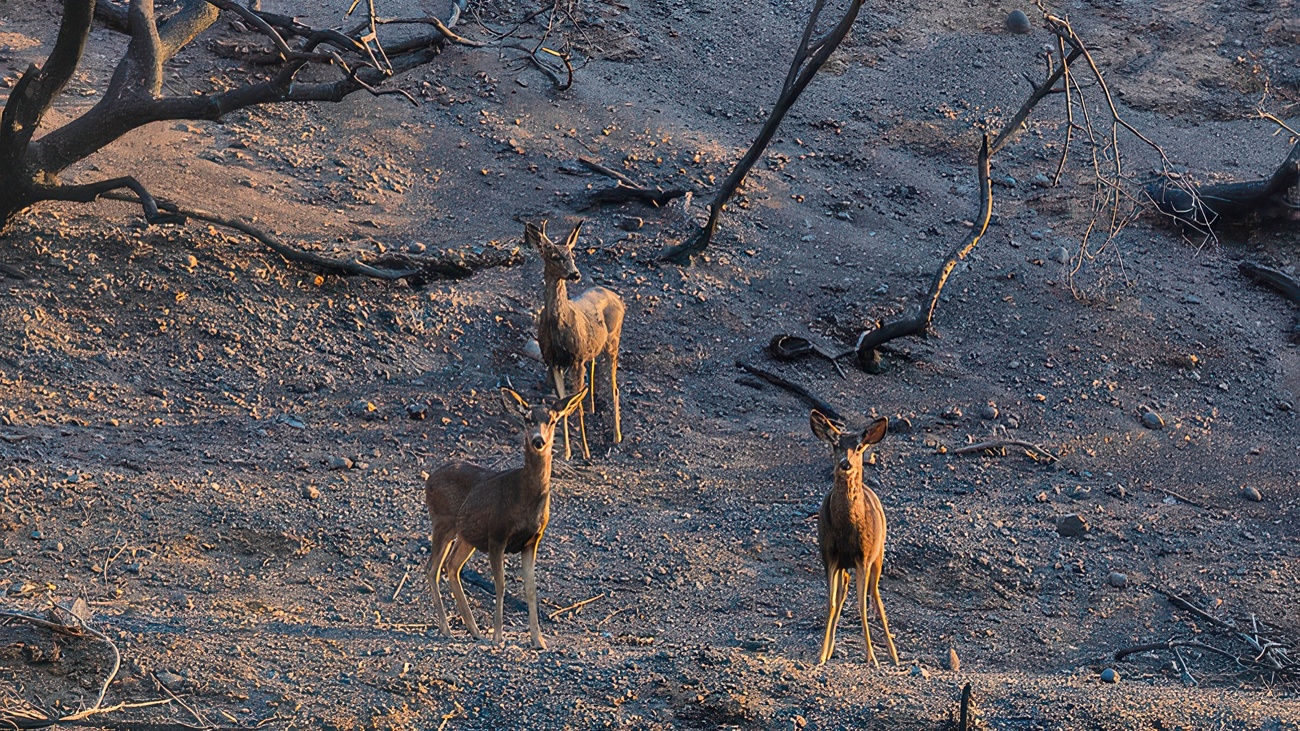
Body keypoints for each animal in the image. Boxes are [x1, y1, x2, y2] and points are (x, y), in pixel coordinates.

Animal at [423, 385, 587, 645]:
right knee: (432, 568)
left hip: (467, 535)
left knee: (452, 566)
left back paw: (474, 630)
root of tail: (429, 479)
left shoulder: (532, 541)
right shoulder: (497, 535)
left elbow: (531, 589)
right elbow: (500, 585)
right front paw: (498, 636)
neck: (524, 498)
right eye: (527, 418)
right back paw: (446, 628)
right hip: (442, 522)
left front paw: (539, 640)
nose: (538, 441)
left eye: (552, 420)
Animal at [527, 215, 629, 457]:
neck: (558, 328)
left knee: (615, 388)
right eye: (555, 256)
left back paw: (617, 436)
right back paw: (594, 407)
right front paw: (566, 452)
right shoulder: (553, 361)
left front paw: (585, 452)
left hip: (613, 343)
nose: (575, 274)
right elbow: (562, 404)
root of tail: (618, 299)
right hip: (594, 349)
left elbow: (576, 405)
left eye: (572, 255)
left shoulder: (576, 358)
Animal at [806, 405, 899, 663]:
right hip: (844, 565)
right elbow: (831, 603)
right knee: (844, 591)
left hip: (879, 554)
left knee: (875, 596)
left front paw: (872, 658)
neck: (846, 529)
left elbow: (862, 606)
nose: (845, 464)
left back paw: (894, 654)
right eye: (835, 444)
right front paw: (821, 654)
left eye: (858, 447)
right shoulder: (829, 556)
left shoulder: (864, 557)